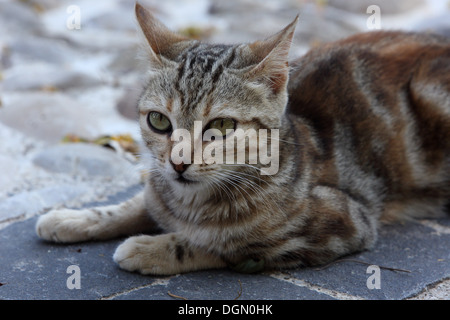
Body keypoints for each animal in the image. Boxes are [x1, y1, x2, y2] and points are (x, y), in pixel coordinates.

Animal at [36, 2, 450, 276]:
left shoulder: (343, 223)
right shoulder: (160, 186)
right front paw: (74, 217)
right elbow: (140, 202)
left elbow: (229, 245)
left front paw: (151, 248)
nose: (178, 162)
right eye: (158, 121)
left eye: (221, 125)